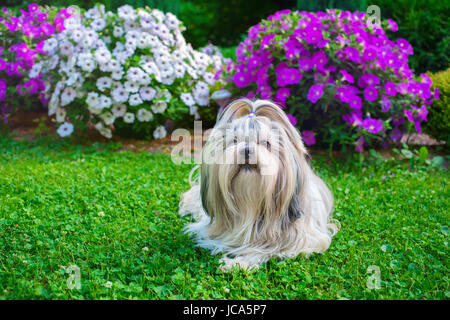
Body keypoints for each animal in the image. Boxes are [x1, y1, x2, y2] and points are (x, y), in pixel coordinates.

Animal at [179, 98, 338, 270]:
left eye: (265, 143)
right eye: (234, 141)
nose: (247, 150)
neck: (252, 203)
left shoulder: (305, 240)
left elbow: (265, 250)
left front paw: (237, 263)